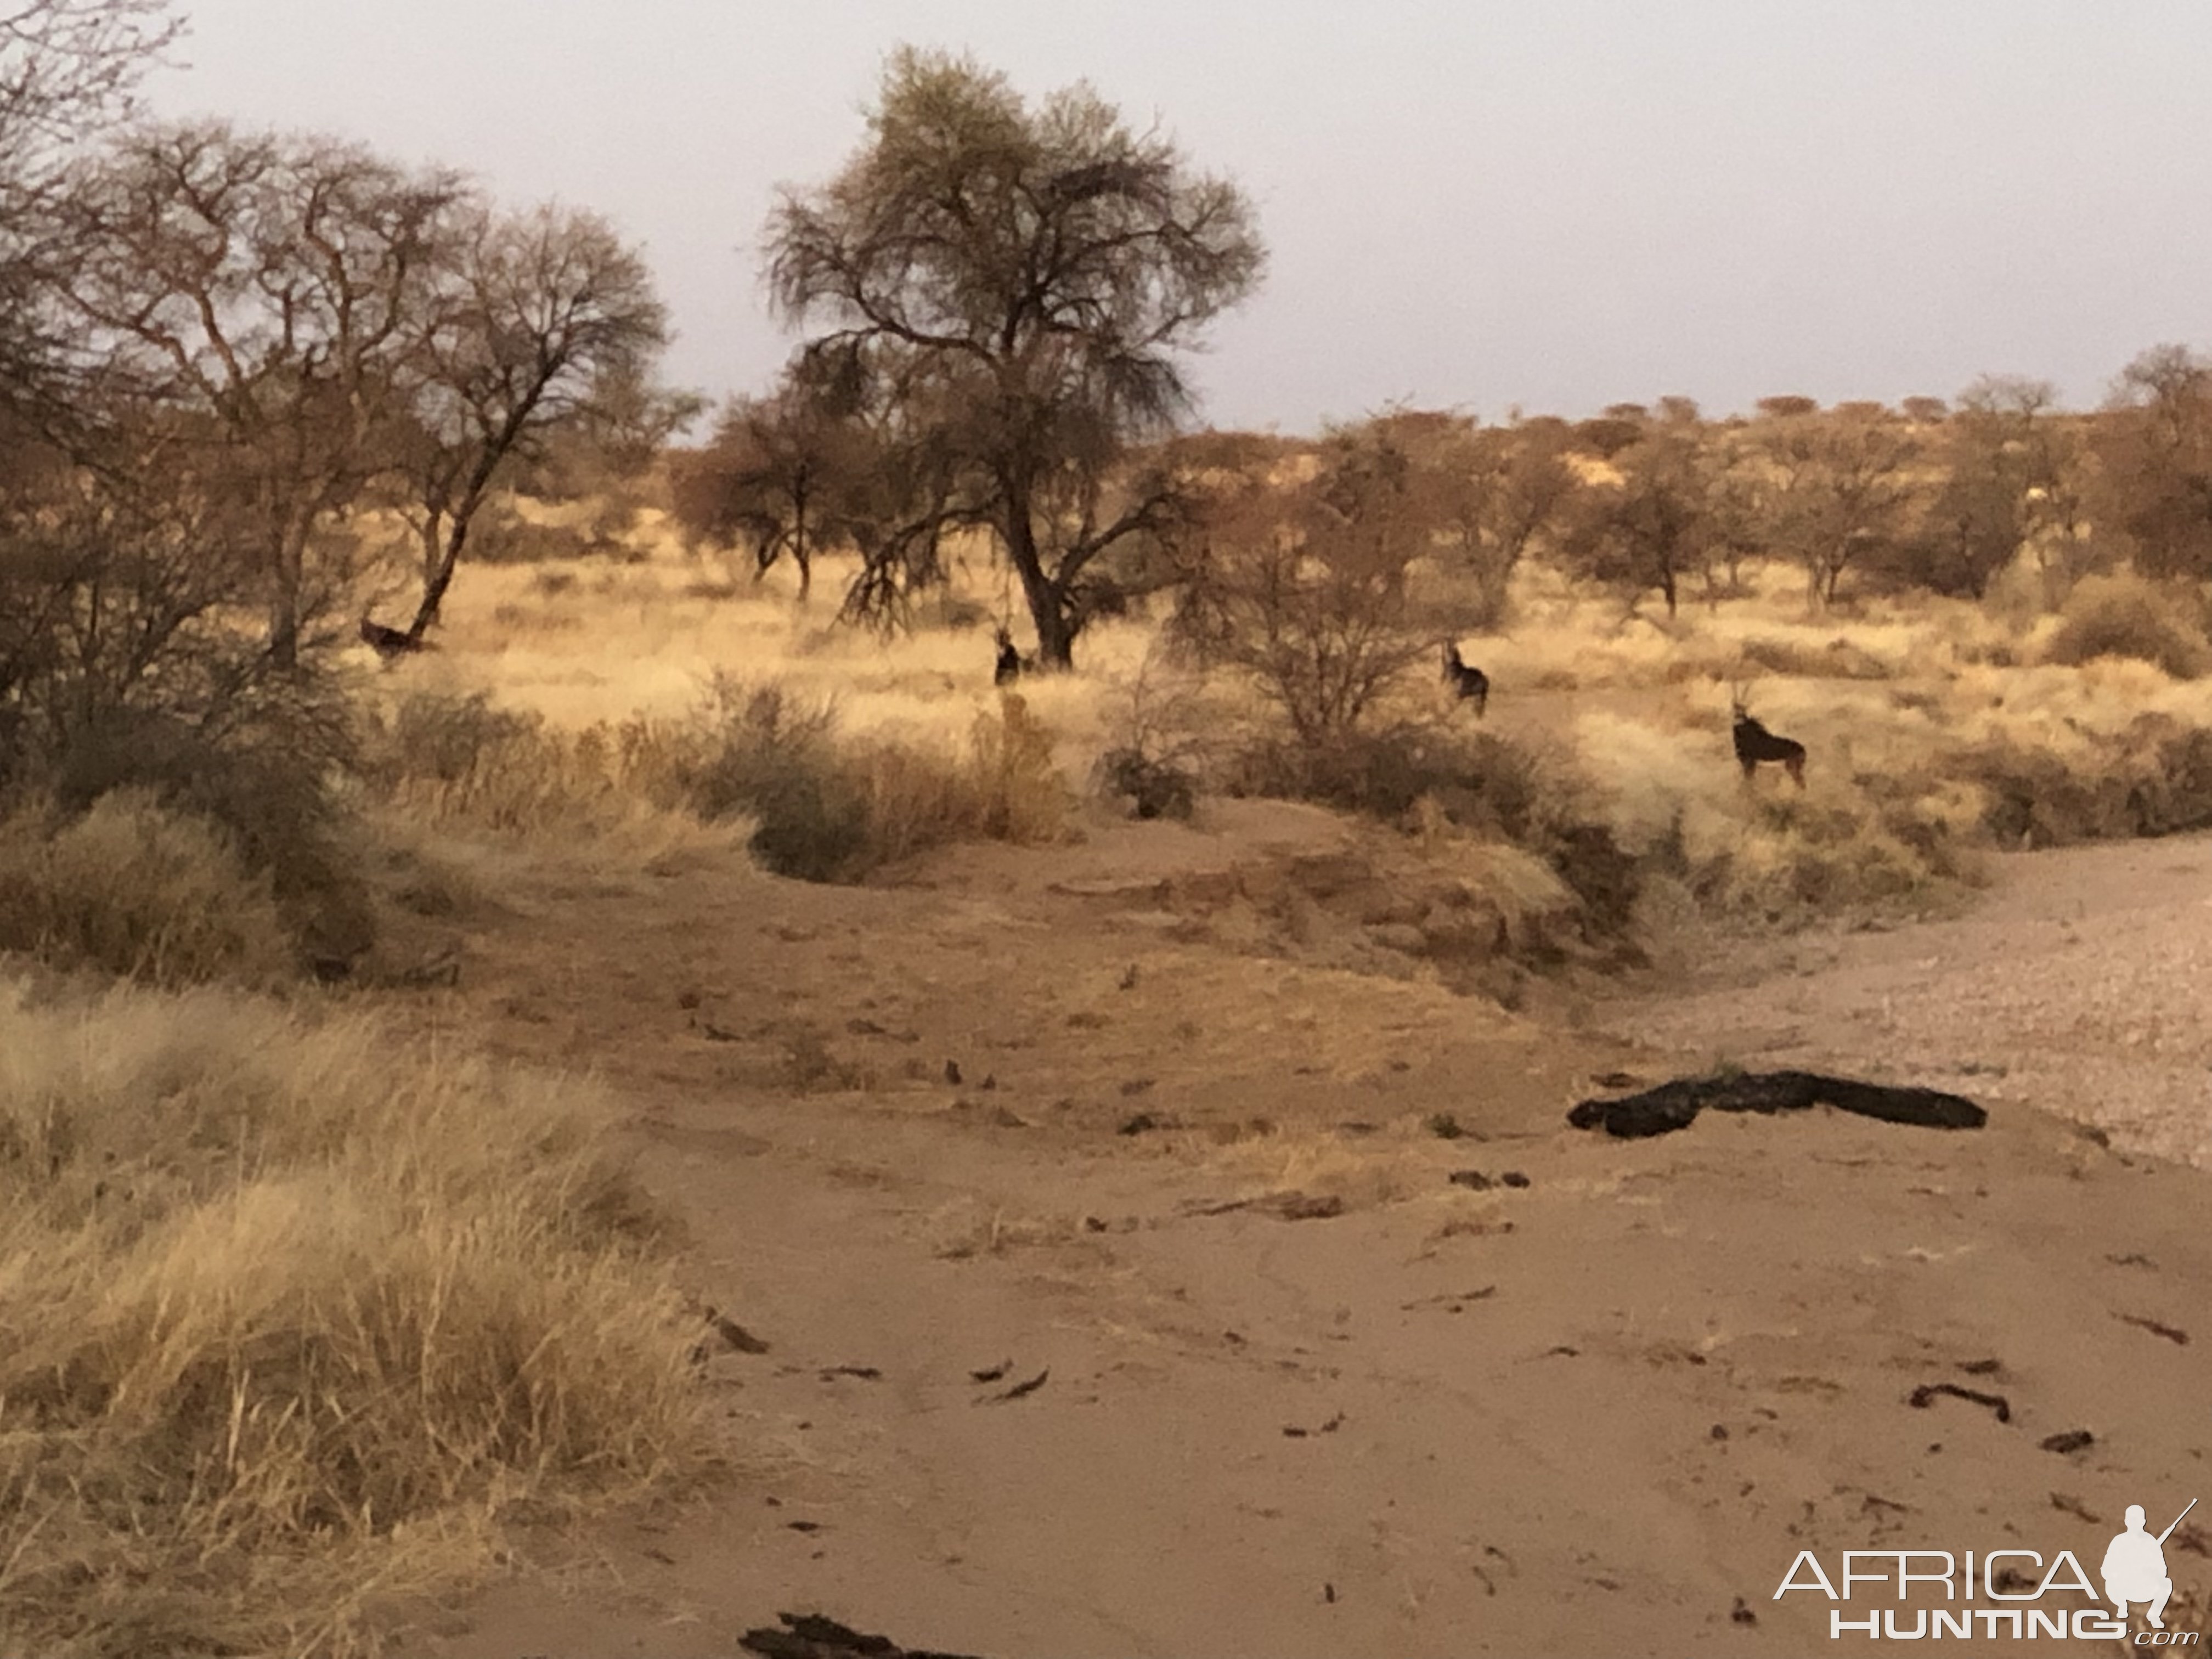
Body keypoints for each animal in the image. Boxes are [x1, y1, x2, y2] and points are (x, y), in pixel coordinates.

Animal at [1734, 690, 1805, 787]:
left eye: (1743, 709)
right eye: (1734, 706)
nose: (1738, 717)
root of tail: (1803, 750)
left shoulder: (1749, 763)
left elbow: (1748, 781)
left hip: (1791, 768)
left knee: (1801, 784)